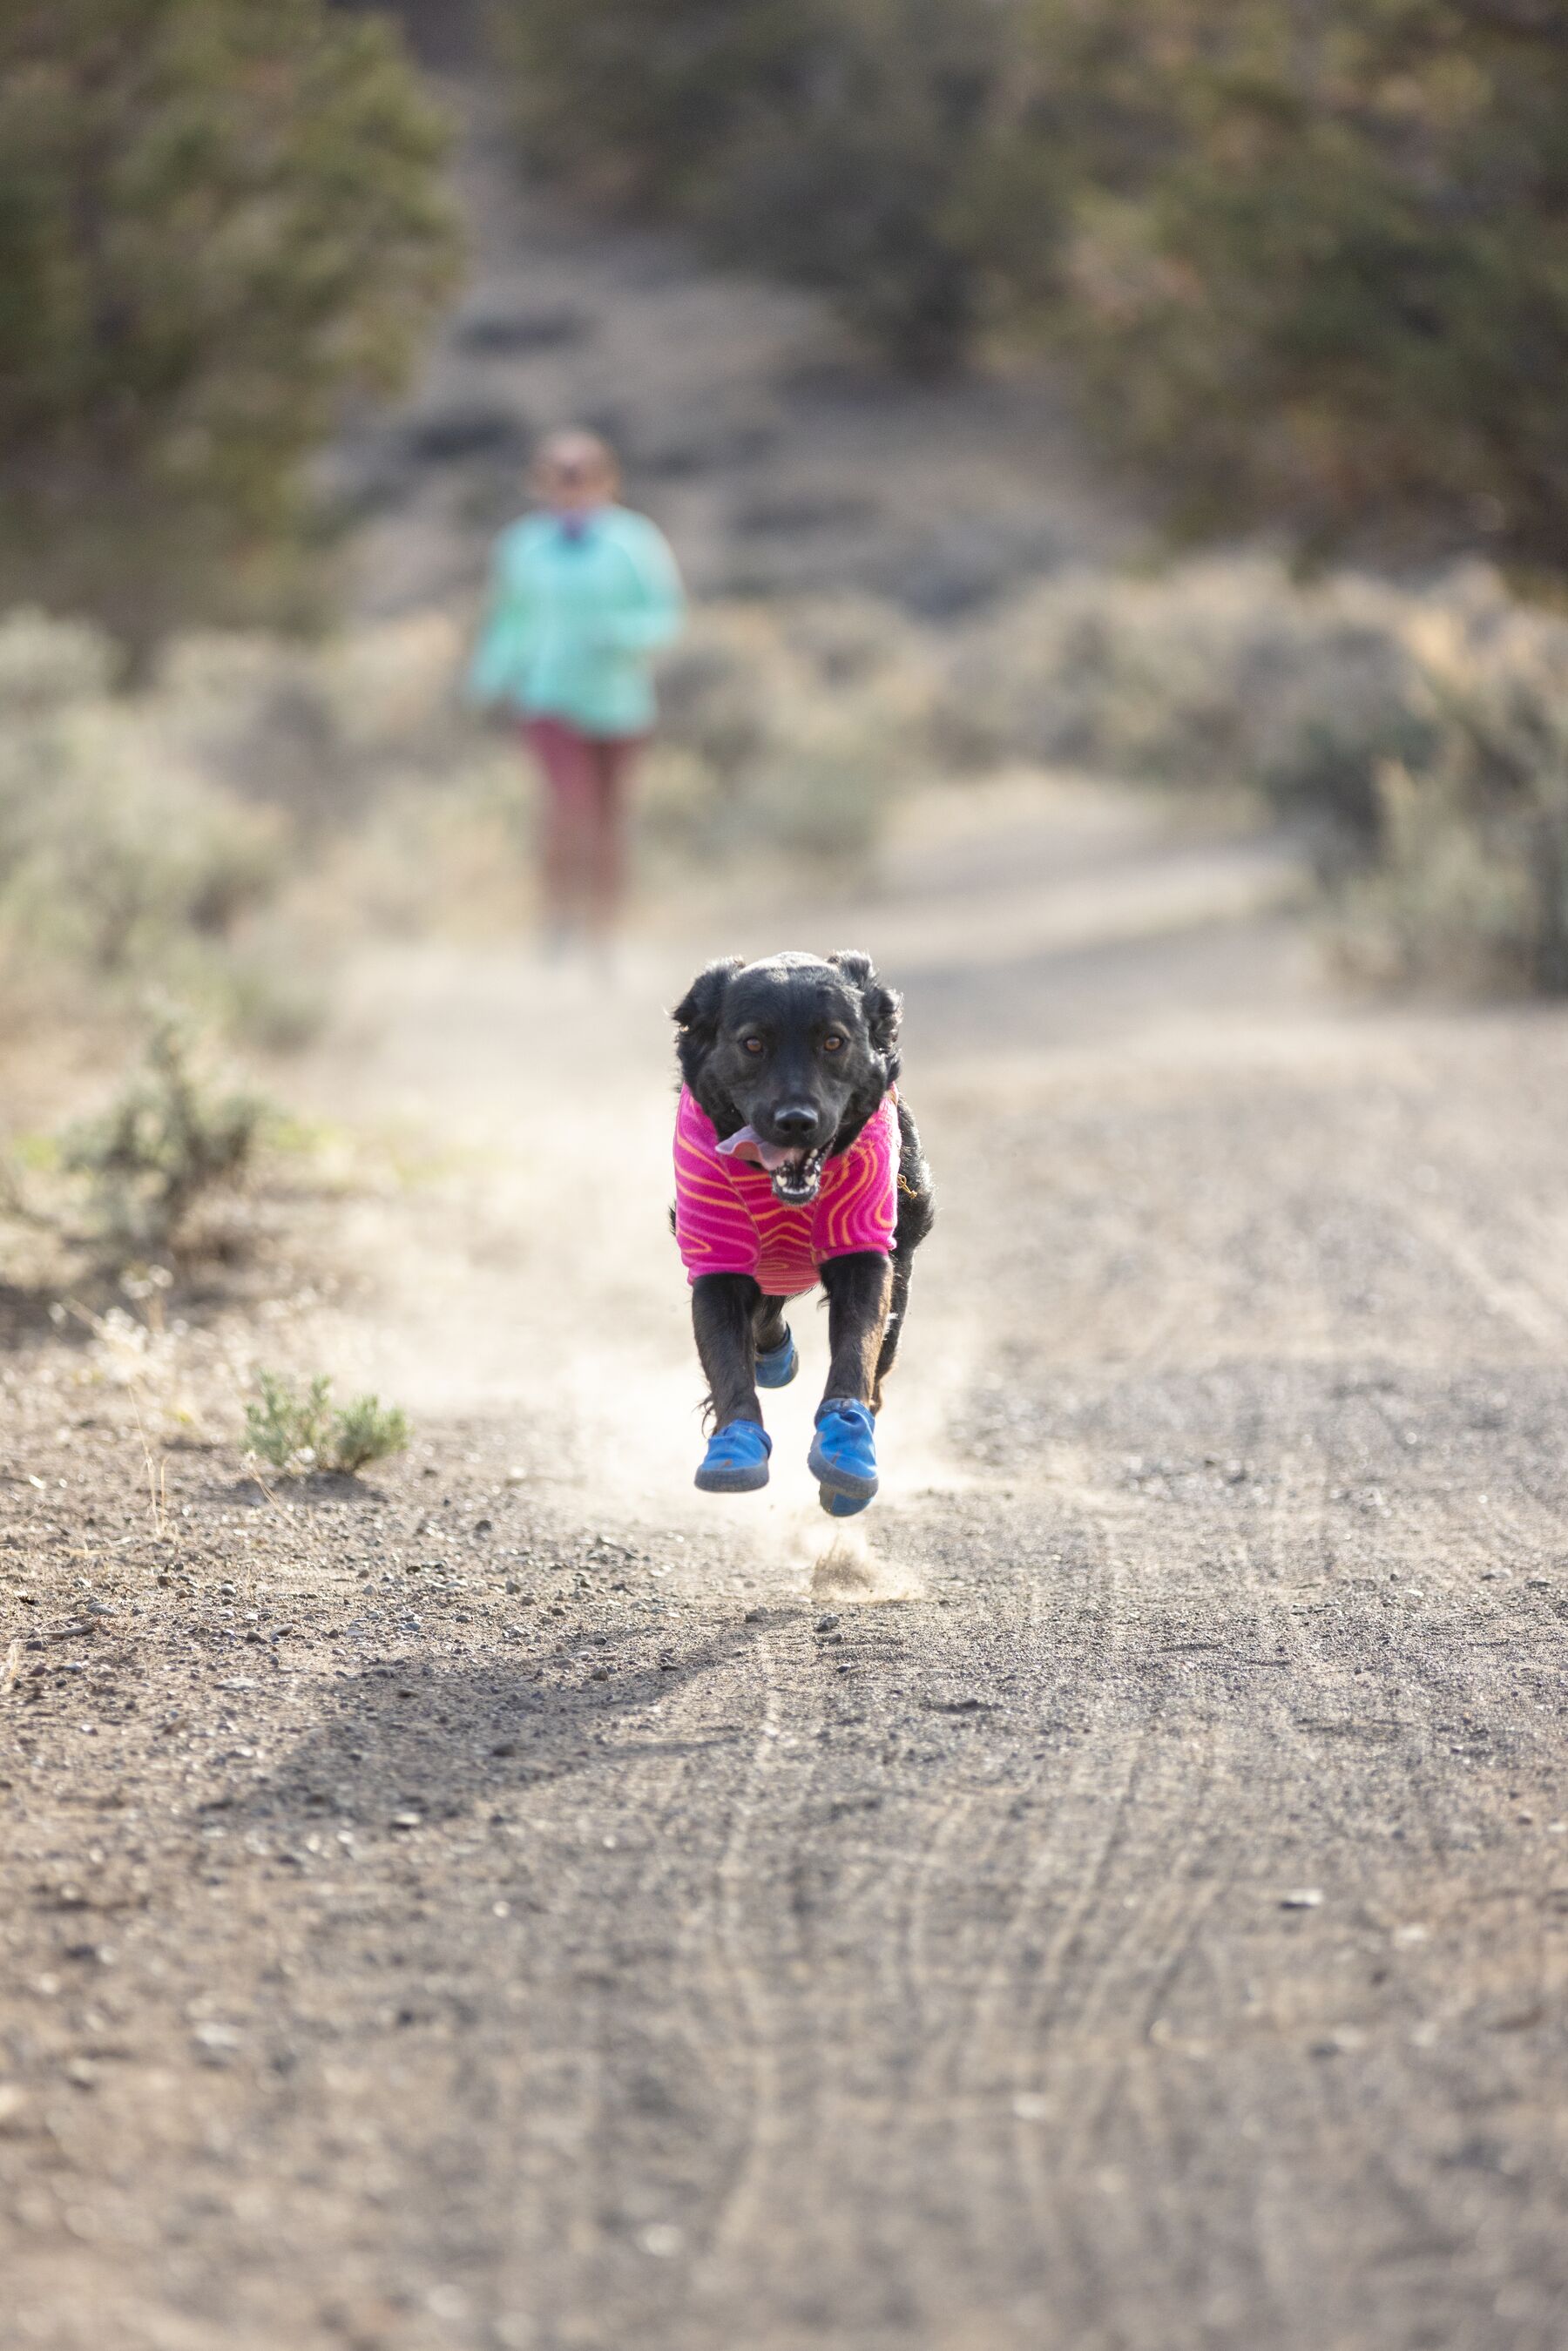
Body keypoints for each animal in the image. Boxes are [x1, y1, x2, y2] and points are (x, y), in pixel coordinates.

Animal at [672, 944, 930, 1514]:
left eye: (834, 1041)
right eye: (753, 1044)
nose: (796, 1121)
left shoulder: (865, 1250)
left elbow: (859, 1348)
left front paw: (846, 1446)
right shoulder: (717, 1257)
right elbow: (729, 1359)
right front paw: (736, 1445)